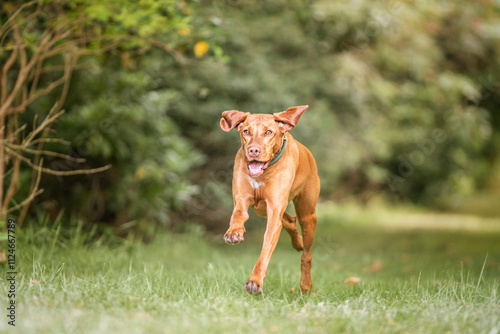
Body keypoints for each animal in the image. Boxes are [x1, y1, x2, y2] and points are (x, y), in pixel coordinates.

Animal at [219, 105, 320, 294]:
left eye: (268, 132)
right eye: (246, 131)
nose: (253, 150)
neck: (263, 174)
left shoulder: (274, 211)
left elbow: (266, 250)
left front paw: (254, 281)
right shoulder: (243, 200)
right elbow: (238, 215)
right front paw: (234, 232)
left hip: (307, 215)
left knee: (306, 254)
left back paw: (306, 284)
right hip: (261, 209)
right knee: (289, 220)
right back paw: (297, 242)